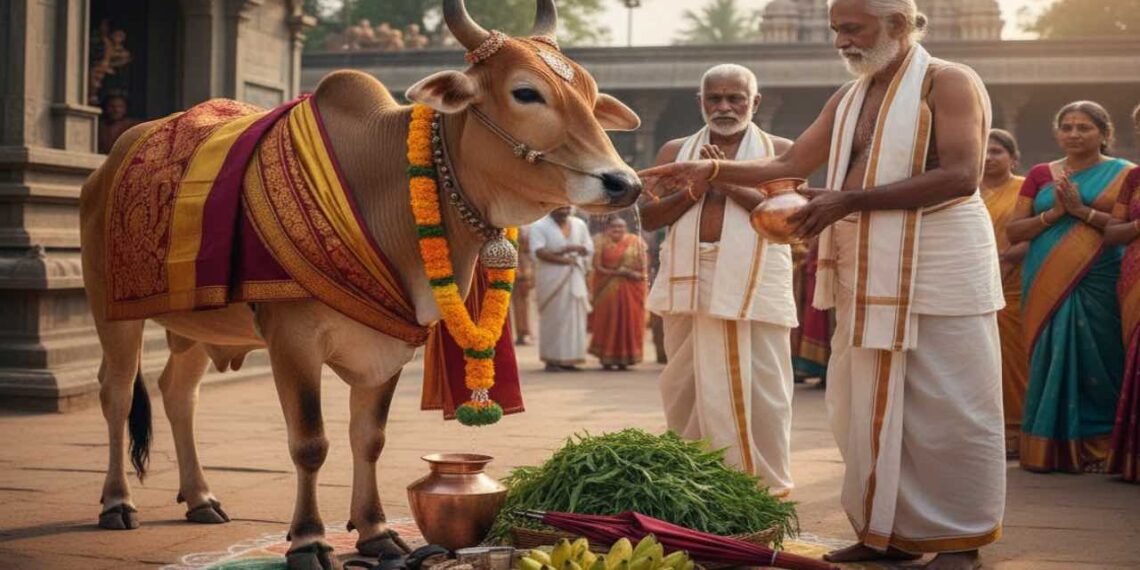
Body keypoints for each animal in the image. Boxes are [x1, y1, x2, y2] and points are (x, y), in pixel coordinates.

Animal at [78, 1, 641, 567]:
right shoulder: (293, 341)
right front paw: (308, 540)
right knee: (117, 392)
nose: (625, 183)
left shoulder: (389, 343)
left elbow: (369, 437)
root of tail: (106, 167)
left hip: (198, 325)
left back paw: (200, 497)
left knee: (178, 393)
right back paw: (116, 502)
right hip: (111, 311)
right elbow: (310, 443)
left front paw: (374, 533)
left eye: (591, 95)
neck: (385, 185)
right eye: (526, 92)